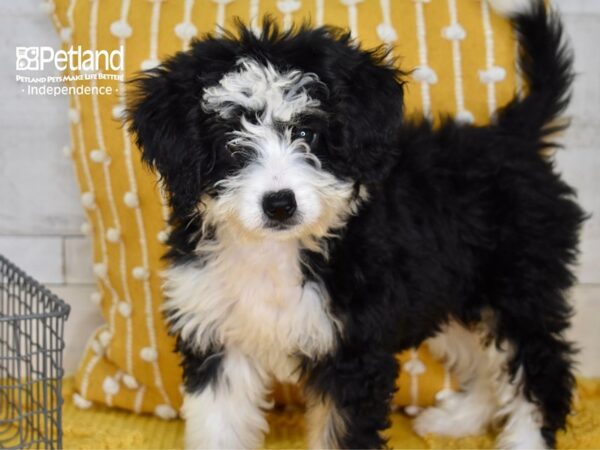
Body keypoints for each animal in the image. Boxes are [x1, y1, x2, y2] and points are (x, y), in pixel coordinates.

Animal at [127, 1, 584, 448]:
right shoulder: (218, 339)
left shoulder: (352, 353)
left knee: (540, 369)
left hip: (519, 288)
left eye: (307, 132)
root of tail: (512, 136)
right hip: (451, 288)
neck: (276, 252)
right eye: (231, 144)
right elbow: (219, 429)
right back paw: (459, 420)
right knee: (482, 358)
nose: (279, 205)